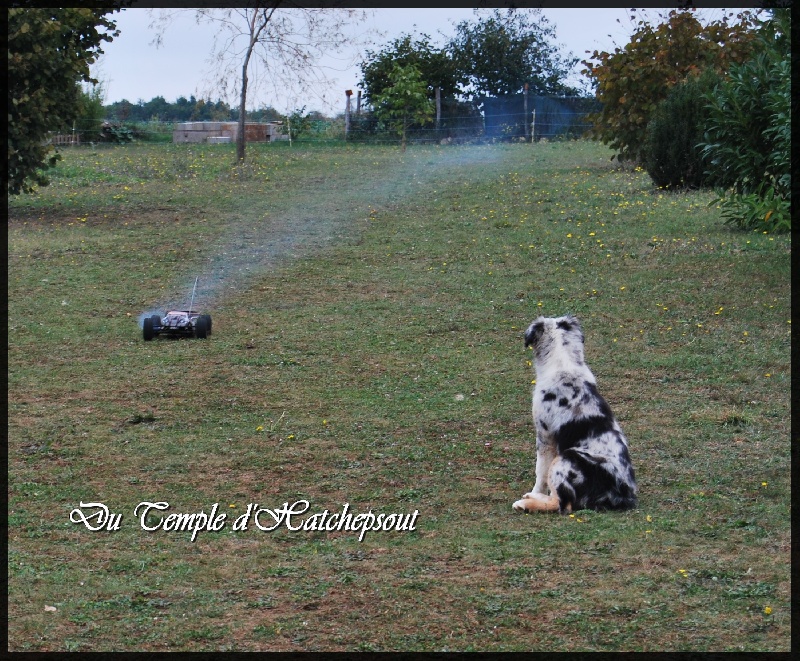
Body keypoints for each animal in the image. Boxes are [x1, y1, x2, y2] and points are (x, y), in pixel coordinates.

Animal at [512, 316, 636, 516]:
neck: (563, 367)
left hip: (567, 457)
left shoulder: (545, 436)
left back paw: (526, 503)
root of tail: (623, 497)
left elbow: (541, 472)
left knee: (562, 504)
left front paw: (535, 491)